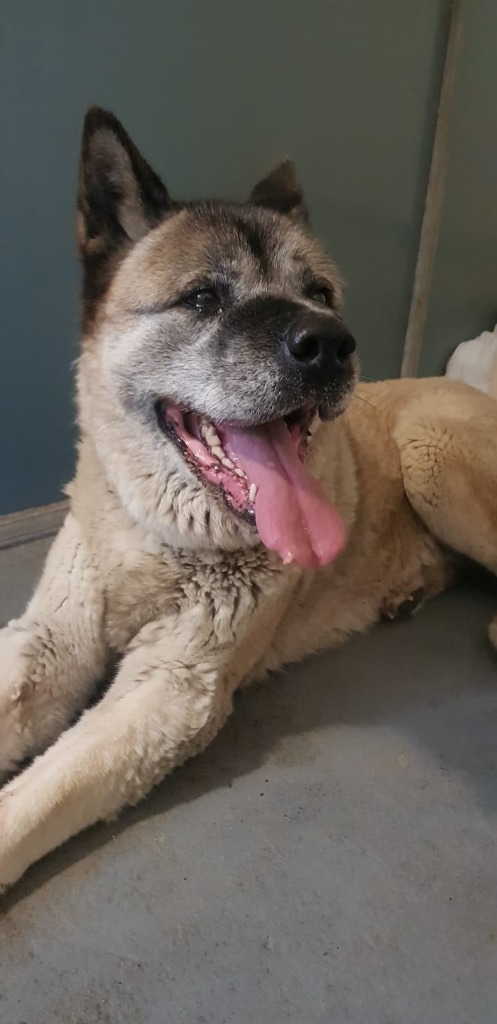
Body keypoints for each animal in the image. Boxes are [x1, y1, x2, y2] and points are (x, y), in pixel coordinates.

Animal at [1, 107, 496, 892]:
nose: (331, 344)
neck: (158, 541)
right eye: (203, 297)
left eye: (319, 294)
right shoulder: (48, 647)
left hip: (432, 454)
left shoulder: (171, 692)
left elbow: (31, 799)